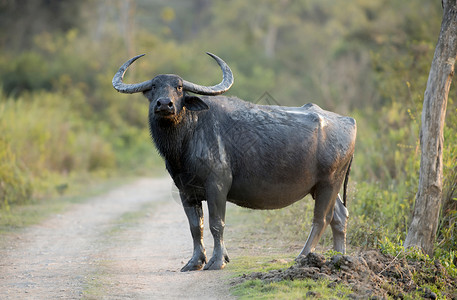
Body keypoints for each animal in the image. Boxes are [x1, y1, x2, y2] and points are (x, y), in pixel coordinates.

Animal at [112, 52, 354, 270]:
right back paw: (338, 258)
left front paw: (217, 261)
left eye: (179, 87)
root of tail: (348, 121)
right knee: (340, 216)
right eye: (154, 87)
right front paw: (195, 262)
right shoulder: (185, 191)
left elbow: (216, 224)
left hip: (329, 182)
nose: (164, 104)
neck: (189, 135)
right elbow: (195, 227)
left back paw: (303, 257)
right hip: (321, 187)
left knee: (322, 219)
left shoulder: (217, 186)